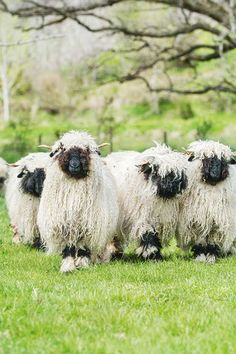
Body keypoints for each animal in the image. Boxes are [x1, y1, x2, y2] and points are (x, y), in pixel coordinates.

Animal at [37, 131, 120, 272]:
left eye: (86, 150)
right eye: (63, 149)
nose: (74, 165)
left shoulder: (88, 223)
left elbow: (83, 246)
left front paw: (82, 264)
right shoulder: (64, 223)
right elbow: (68, 246)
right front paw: (68, 266)